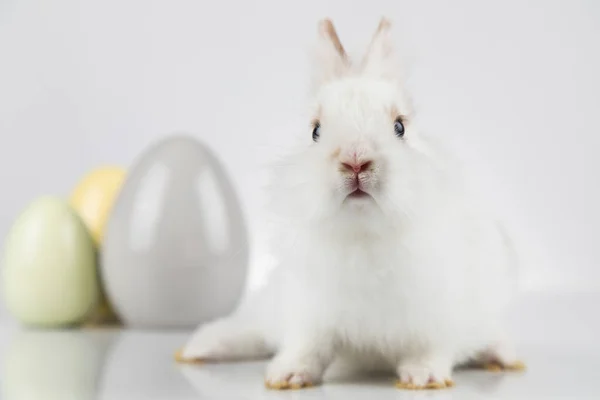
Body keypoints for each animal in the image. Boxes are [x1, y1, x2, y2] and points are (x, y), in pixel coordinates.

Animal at [180, 18, 524, 390]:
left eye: (400, 126)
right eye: (315, 131)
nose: (355, 161)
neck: (363, 237)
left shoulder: (440, 314)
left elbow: (429, 348)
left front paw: (423, 377)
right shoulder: (309, 312)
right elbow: (307, 347)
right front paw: (287, 376)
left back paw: (504, 357)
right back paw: (198, 349)